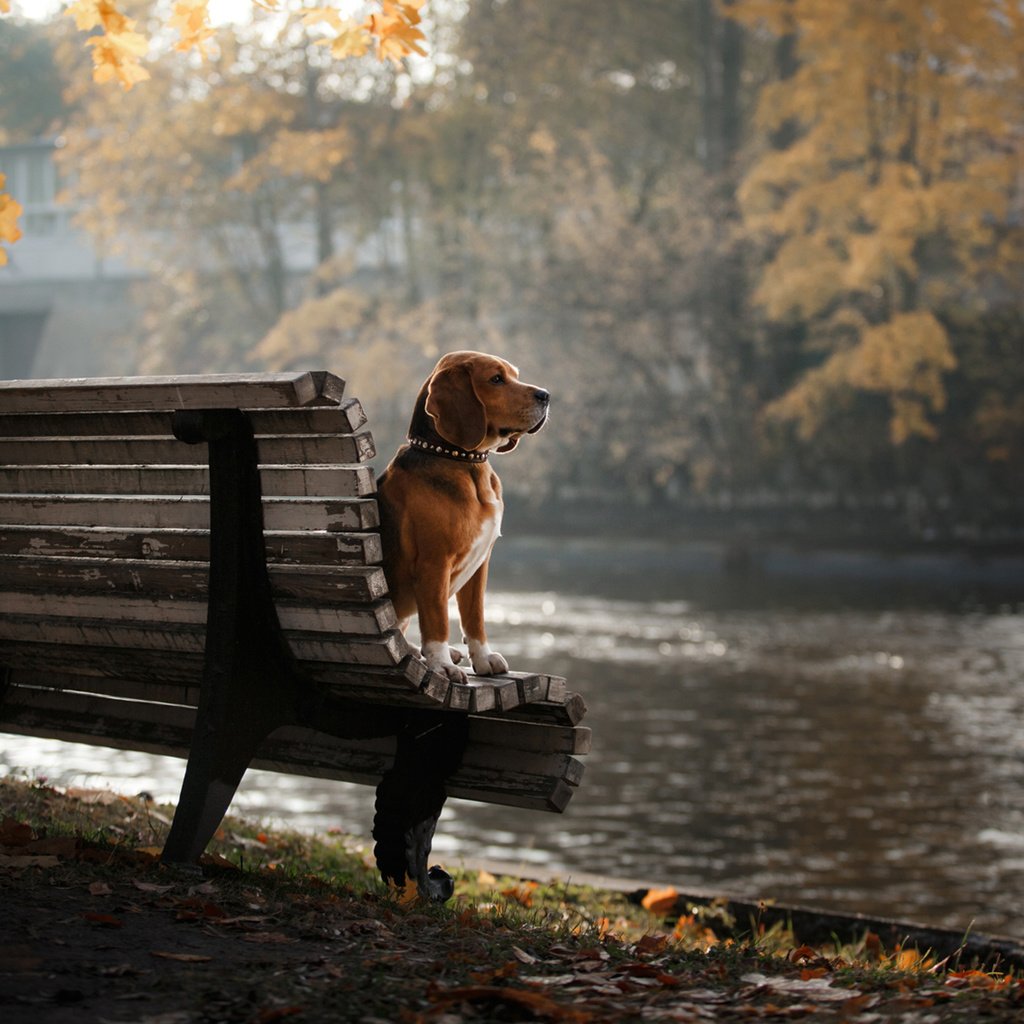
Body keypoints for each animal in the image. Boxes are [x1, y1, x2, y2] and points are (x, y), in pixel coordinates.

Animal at [378, 350, 552, 679]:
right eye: (496, 379)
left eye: (515, 374)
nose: (546, 395)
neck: (463, 461)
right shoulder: (434, 564)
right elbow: (437, 622)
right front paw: (441, 664)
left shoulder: (480, 565)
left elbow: (475, 617)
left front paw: (482, 659)